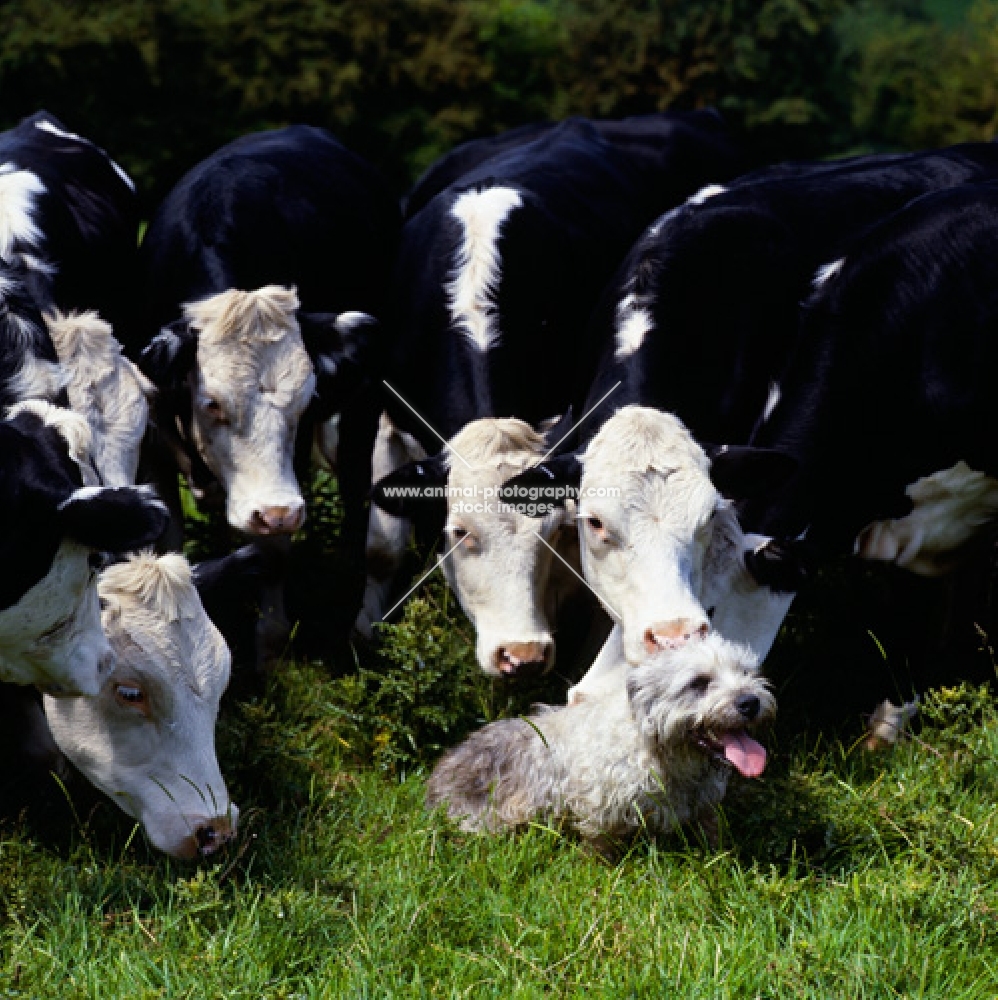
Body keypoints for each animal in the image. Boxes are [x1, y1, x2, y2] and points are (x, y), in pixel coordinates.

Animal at [138, 121, 402, 660]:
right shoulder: (152, 436)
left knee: (355, 496)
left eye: (304, 405)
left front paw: (270, 650)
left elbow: (275, 557)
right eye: (212, 403)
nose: (277, 512)